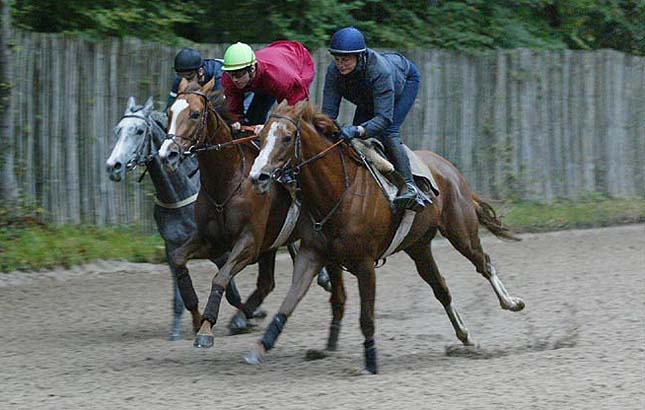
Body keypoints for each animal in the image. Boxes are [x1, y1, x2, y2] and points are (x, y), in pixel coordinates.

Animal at [105, 96, 264, 340]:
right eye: (117, 130)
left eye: (139, 130)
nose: (113, 166)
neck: (180, 192)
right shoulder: (172, 248)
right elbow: (181, 294)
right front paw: (180, 329)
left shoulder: (221, 250)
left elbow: (231, 290)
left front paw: (243, 319)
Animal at [157, 79, 339, 350]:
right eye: (169, 113)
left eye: (195, 114)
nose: (167, 154)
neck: (227, 182)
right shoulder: (212, 241)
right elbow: (179, 260)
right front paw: (198, 319)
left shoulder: (249, 244)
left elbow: (221, 277)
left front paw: (206, 329)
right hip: (271, 245)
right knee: (266, 284)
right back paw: (241, 318)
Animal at [247, 100, 525, 374]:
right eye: (260, 136)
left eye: (287, 137)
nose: (258, 176)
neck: (338, 191)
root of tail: (449, 168)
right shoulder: (312, 253)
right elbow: (290, 300)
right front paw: (261, 346)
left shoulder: (365, 264)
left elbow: (366, 317)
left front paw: (370, 362)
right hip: (419, 247)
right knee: (441, 288)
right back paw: (465, 336)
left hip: (462, 232)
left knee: (483, 263)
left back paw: (511, 302)